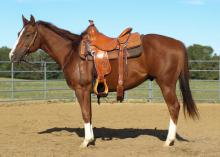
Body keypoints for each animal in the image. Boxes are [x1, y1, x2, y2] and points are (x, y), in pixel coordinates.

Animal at [8, 15, 199, 148]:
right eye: (18, 33)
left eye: (28, 34)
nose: (12, 56)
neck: (72, 53)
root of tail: (178, 44)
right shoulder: (87, 91)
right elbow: (90, 114)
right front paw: (91, 139)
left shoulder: (81, 89)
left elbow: (85, 114)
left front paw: (86, 142)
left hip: (166, 84)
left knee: (174, 107)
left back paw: (168, 141)